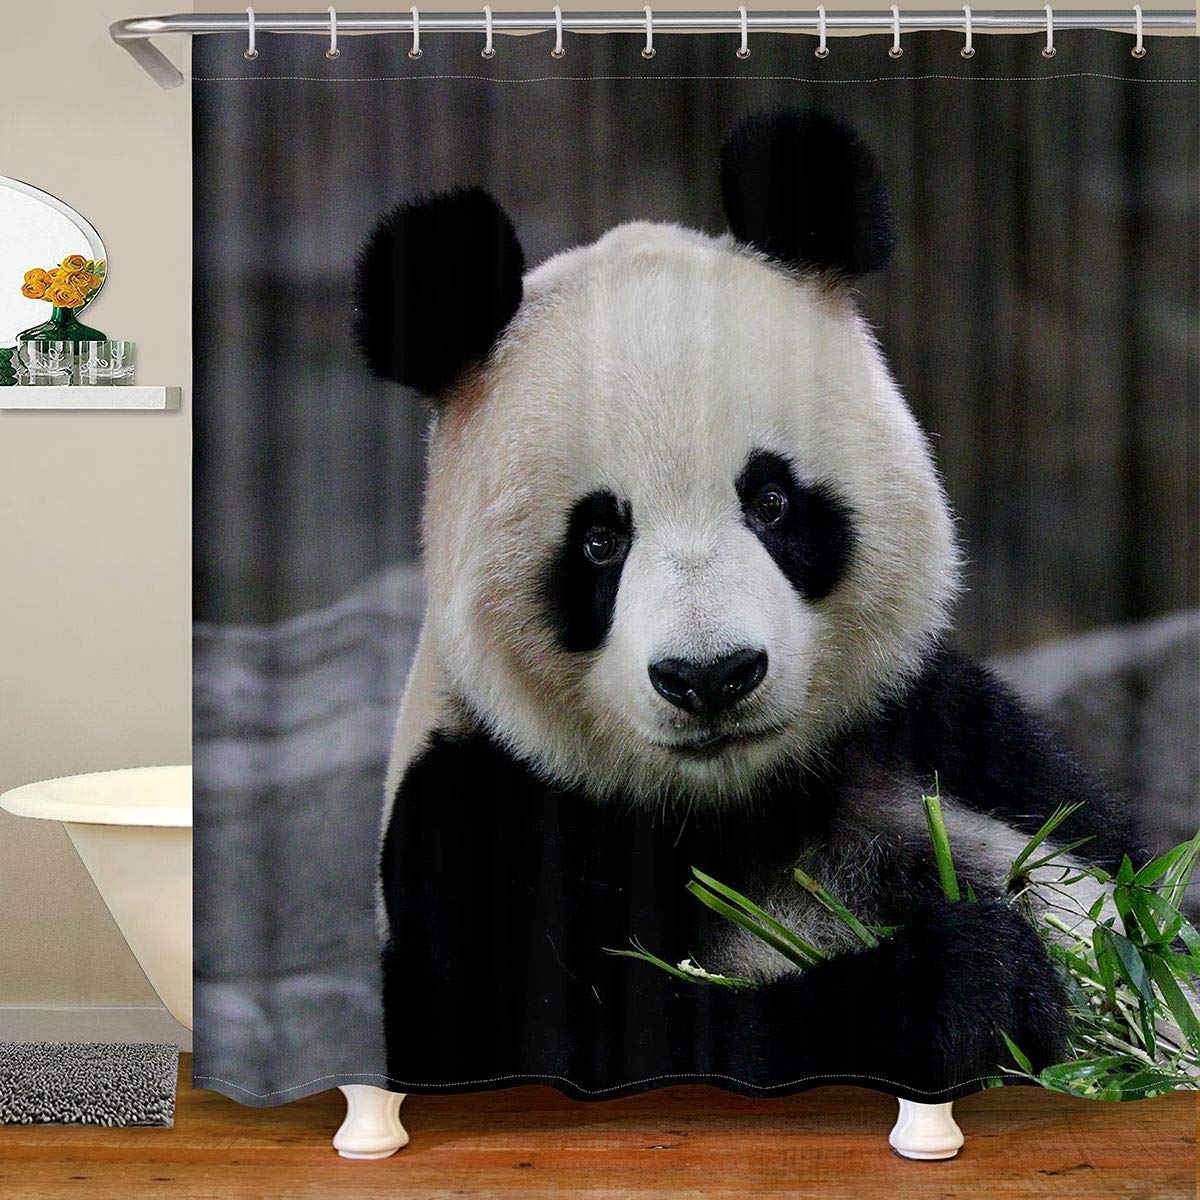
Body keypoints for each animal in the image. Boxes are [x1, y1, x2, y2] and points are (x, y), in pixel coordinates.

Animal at [353, 109, 1132, 1103]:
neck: (735, 799)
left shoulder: (953, 742)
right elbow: (606, 1058)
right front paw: (969, 987)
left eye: (770, 501)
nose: (711, 676)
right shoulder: (478, 826)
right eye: (599, 540)